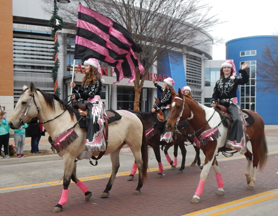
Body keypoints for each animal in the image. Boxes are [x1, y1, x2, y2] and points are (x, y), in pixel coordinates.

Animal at [8, 83, 148, 213]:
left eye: (24, 102)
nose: (10, 123)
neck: (63, 122)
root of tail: (134, 114)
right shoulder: (71, 158)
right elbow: (73, 177)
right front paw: (87, 193)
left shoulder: (68, 158)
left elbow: (66, 180)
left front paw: (60, 203)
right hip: (116, 148)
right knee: (115, 167)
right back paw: (106, 190)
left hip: (135, 146)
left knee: (140, 163)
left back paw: (138, 187)